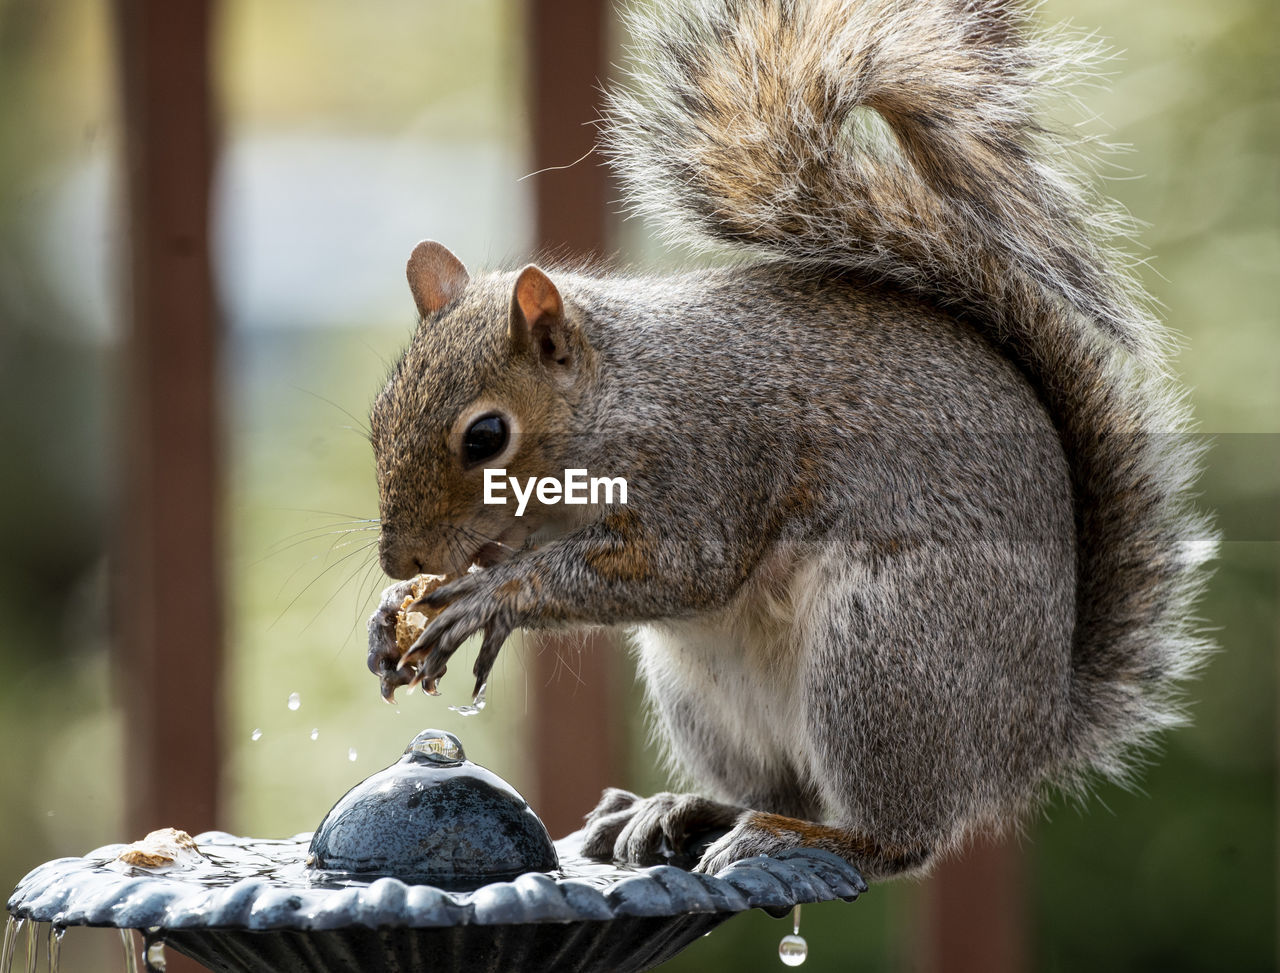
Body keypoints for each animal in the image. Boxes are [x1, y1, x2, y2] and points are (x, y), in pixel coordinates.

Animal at [360, 0, 1208, 880]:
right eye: (378, 417)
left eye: (486, 436)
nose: (400, 559)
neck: (618, 394)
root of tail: (1032, 737)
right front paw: (395, 615)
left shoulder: (707, 461)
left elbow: (678, 568)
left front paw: (490, 597)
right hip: (708, 694)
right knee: (778, 784)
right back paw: (681, 808)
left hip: (884, 655)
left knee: (894, 838)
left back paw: (805, 836)